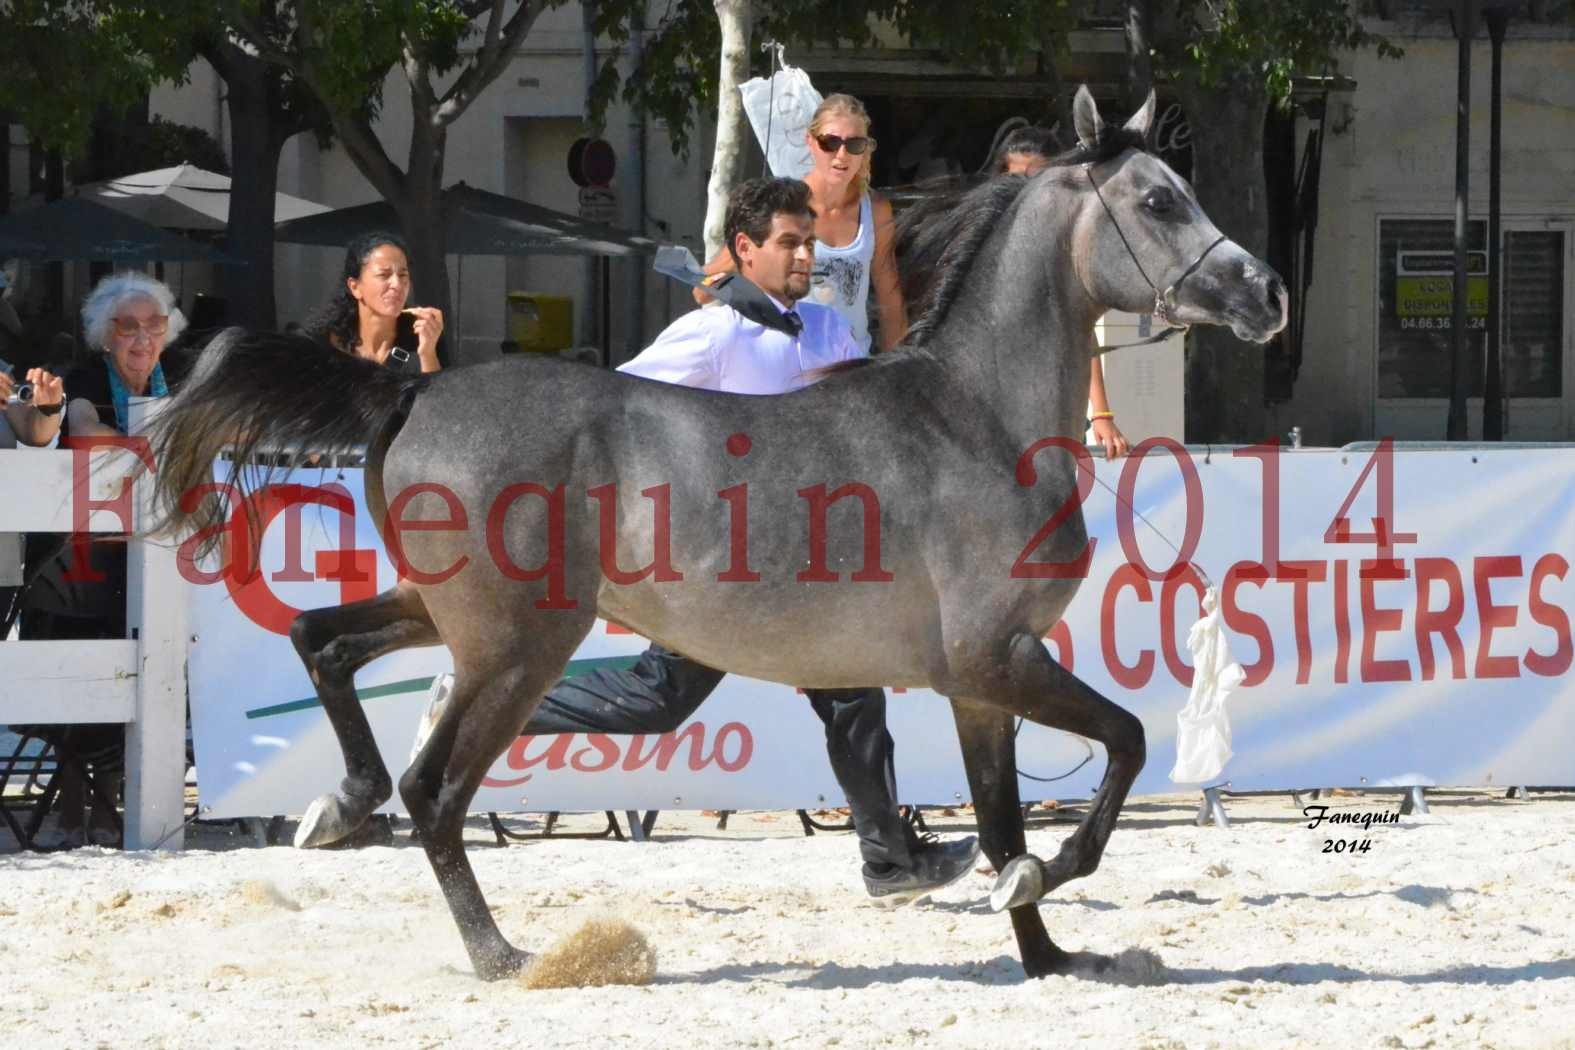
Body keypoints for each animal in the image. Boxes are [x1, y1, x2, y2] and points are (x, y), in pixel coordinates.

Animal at [144, 86, 1278, 982]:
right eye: (1158, 200)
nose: (1265, 292)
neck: (975, 418)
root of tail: (409, 389)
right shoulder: (996, 659)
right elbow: (1125, 746)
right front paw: (1043, 878)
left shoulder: (978, 683)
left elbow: (1002, 819)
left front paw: (1043, 950)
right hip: (517, 643)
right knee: (435, 786)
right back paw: (500, 953)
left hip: (443, 613)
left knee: (323, 645)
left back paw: (339, 803)